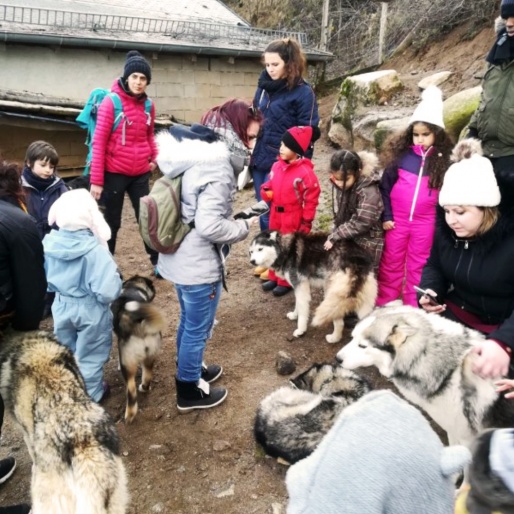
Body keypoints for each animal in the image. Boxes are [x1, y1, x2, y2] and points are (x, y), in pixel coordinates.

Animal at [111, 274, 165, 422]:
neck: (133, 288)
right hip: (150, 354)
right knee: (147, 375)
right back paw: (144, 388)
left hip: (127, 362)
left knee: (131, 390)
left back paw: (129, 415)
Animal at [246, 230, 374, 342]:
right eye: (251, 252)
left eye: (260, 249)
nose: (252, 261)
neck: (286, 250)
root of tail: (355, 260)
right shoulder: (299, 287)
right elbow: (297, 304)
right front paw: (294, 315)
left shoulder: (301, 287)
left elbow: (302, 310)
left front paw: (300, 330)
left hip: (332, 294)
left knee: (340, 322)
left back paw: (334, 338)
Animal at [334, 302, 512, 446]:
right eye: (352, 337)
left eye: (362, 346)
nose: (337, 359)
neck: (448, 373)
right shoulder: (453, 430)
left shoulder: (466, 438)